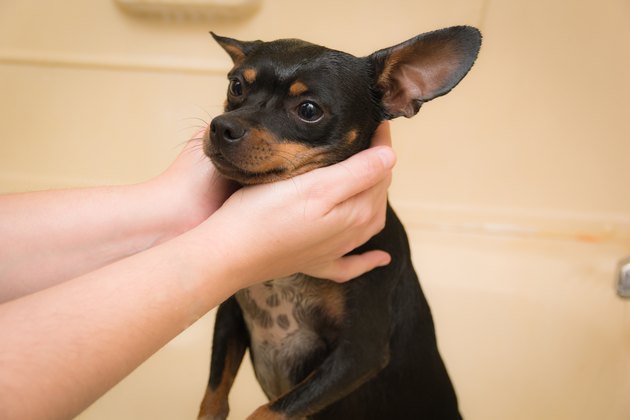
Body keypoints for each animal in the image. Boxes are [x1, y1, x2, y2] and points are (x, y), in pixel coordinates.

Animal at [200, 27, 482, 420]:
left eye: (309, 110)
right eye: (236, 86)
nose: (222, 126)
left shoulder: (359, 354)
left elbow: (267, 411)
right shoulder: (229, 317)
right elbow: (213, 399)